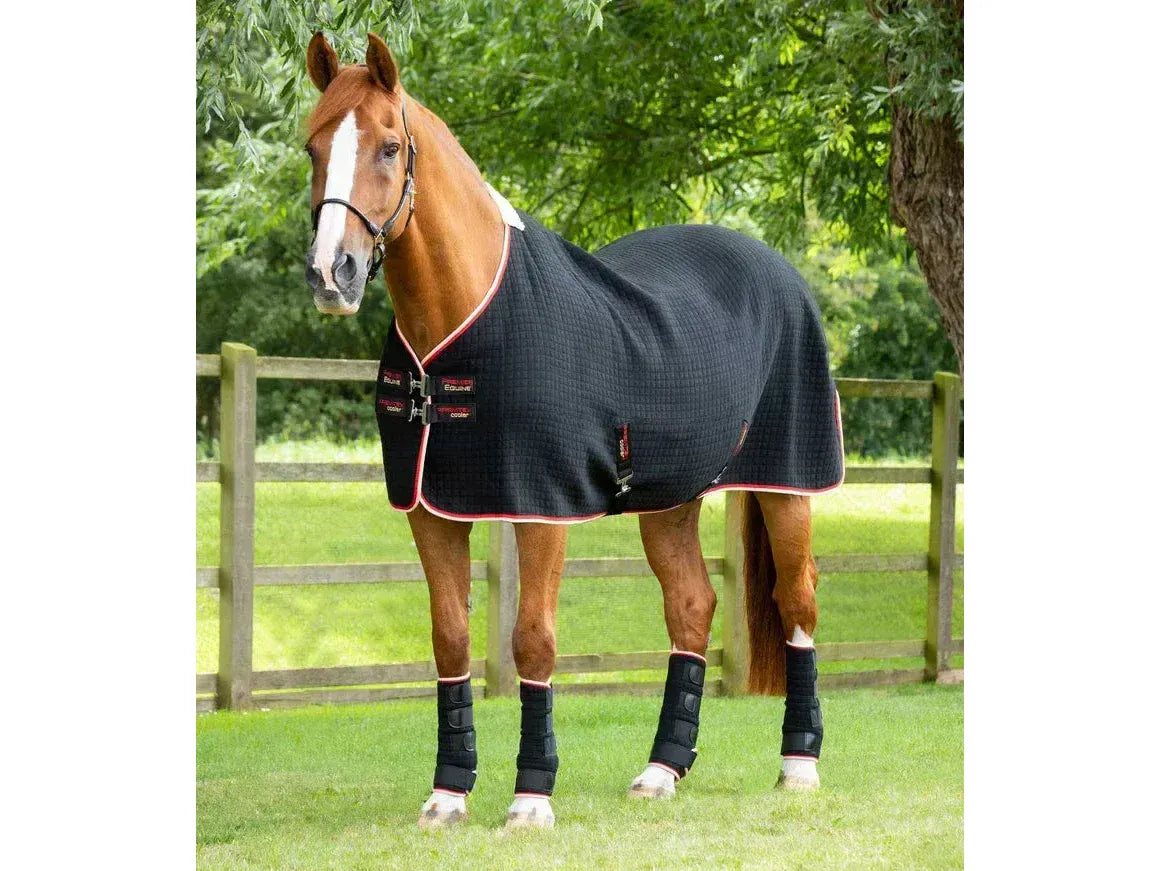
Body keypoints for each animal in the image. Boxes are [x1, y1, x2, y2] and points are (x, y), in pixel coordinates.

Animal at [302, 32, 842, 830]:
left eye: (390, 147)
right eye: (313, 147)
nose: (331, 274)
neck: (464, 321)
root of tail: (773, 266)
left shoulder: (540, 507)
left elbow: (533, 640)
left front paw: (531, 796)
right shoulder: (430, 510)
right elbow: (450, 639)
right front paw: (448, 792)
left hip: (788, 485)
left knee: (797, 600)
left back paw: (799, 764)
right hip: (669, 499)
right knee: (691, 608)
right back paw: (660, 769)